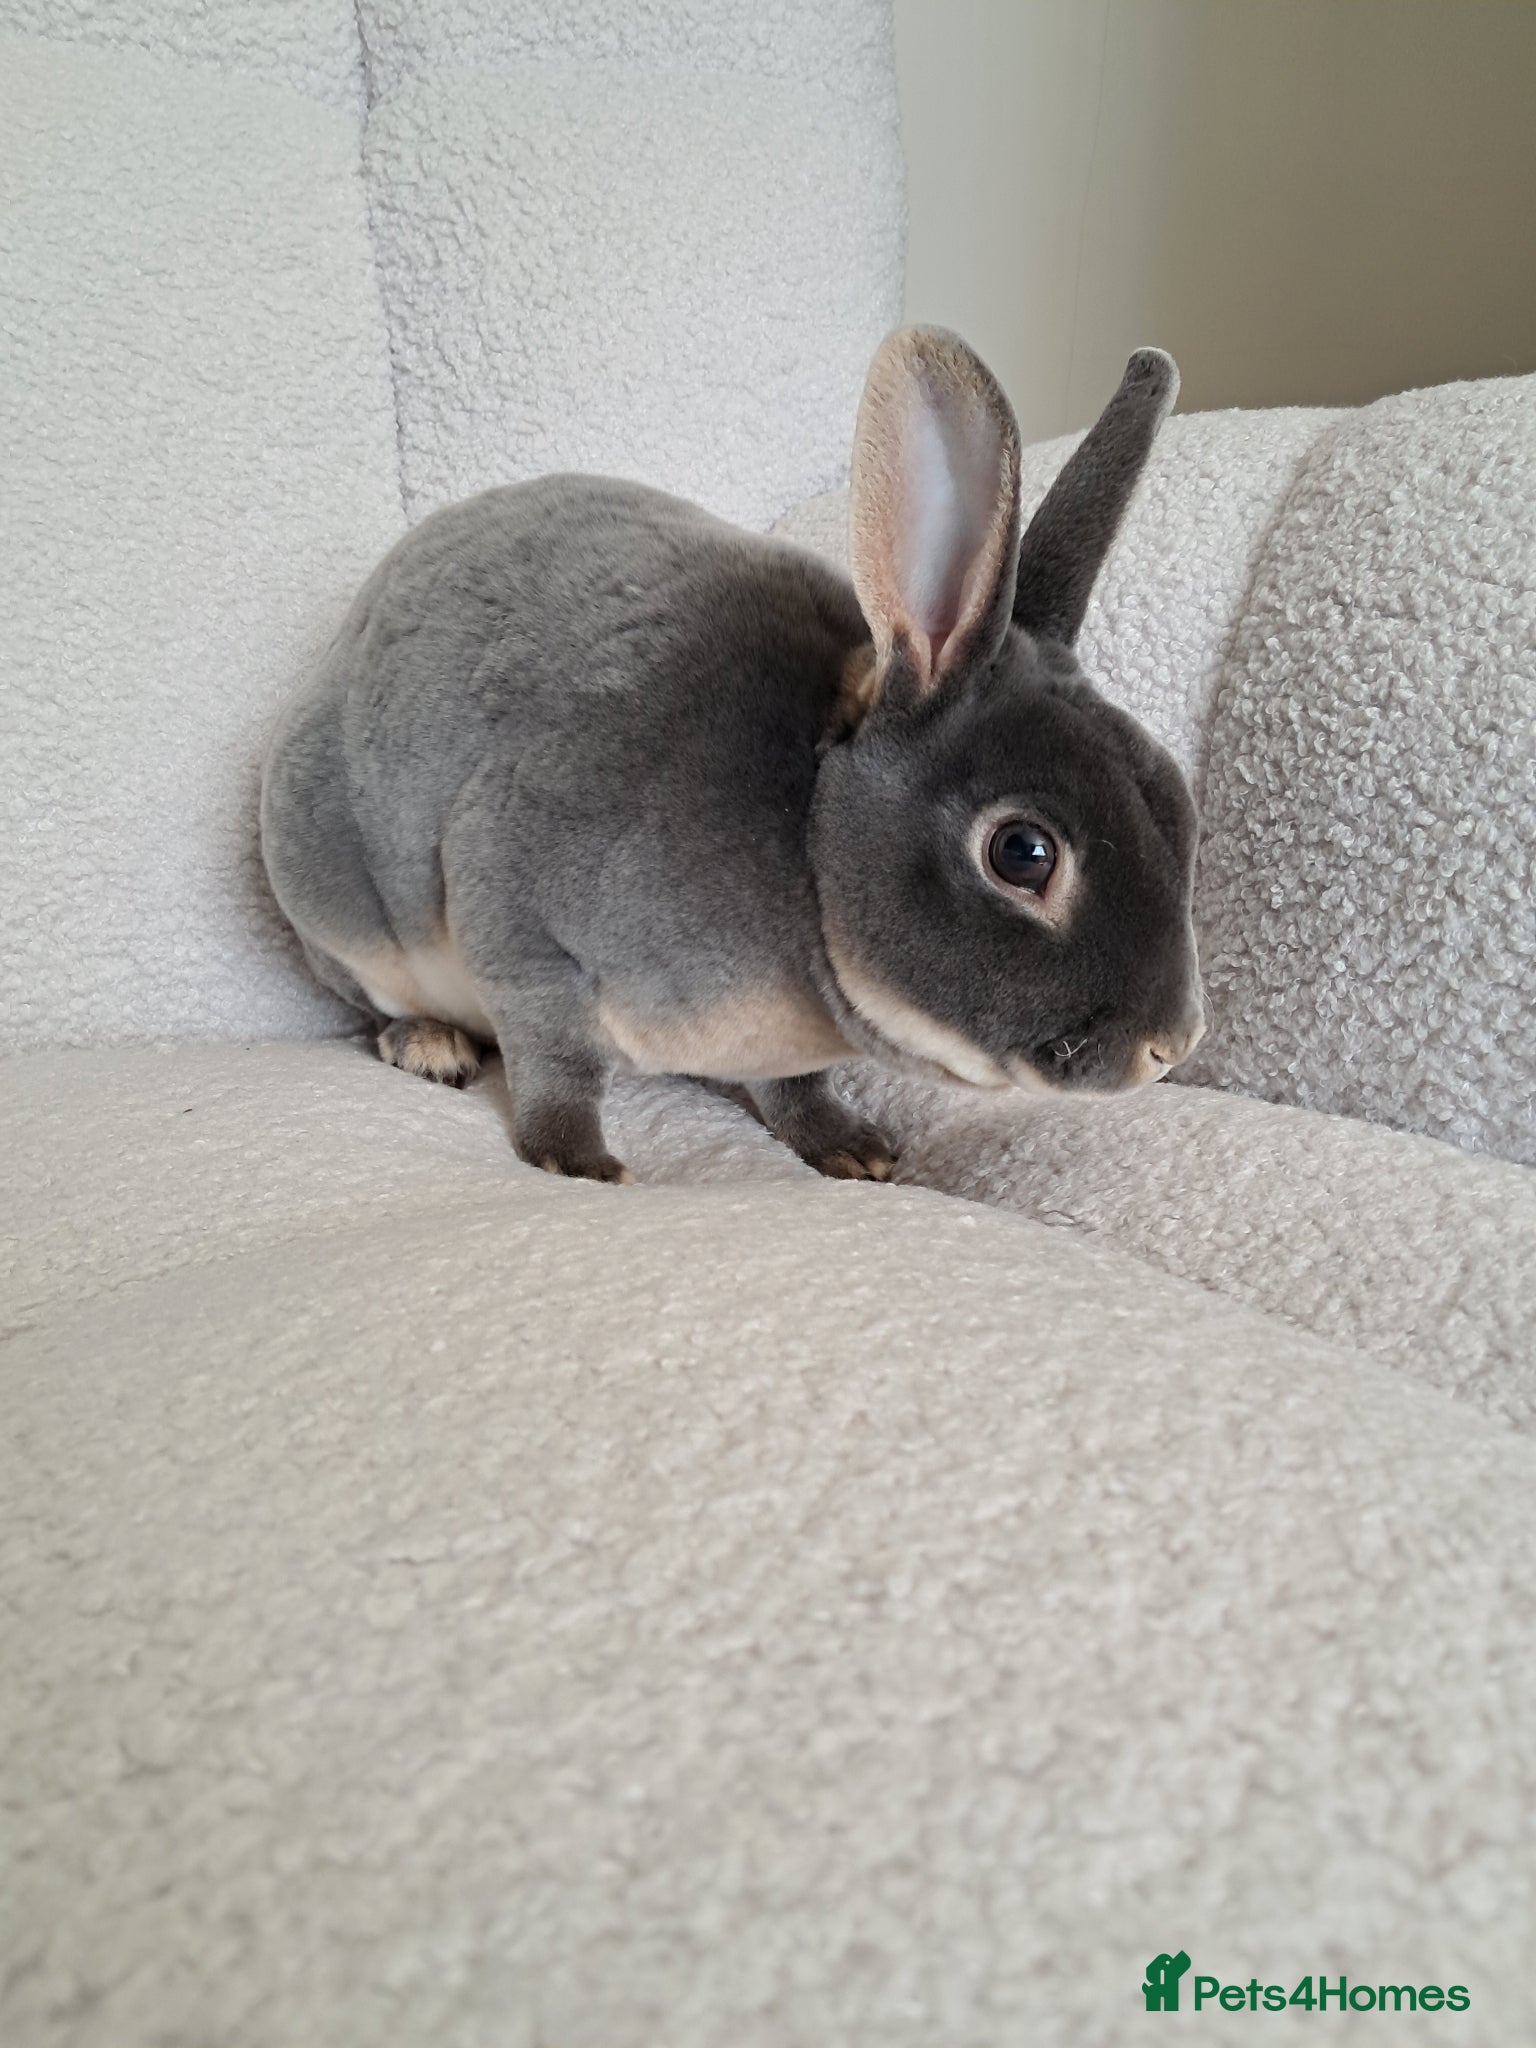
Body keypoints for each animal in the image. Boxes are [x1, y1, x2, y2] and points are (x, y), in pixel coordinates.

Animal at [261, 326, 1204, 1184]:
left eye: (1184, 807)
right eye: (1023, 852)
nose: (1171, 1045)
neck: (808, 838)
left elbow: (795, 1091)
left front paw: (849, 1147)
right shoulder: (518, 915)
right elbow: (555, 1058)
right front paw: (577, 1160)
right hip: (337, 908)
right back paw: (428, 1043)